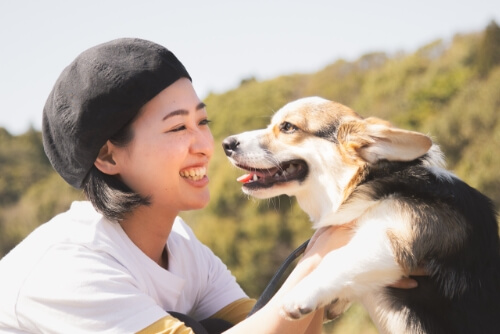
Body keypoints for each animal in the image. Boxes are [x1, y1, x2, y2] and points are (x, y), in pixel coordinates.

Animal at [223, 96, 500, 334]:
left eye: (288, 127)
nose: (226, 144)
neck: (364, 182)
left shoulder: (394, 237)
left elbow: (338, 258)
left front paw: (301, 295)